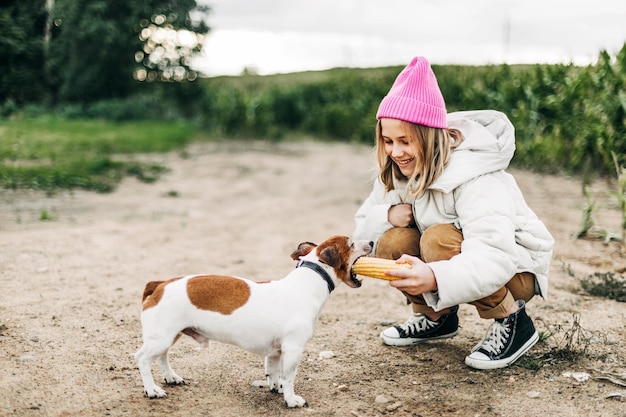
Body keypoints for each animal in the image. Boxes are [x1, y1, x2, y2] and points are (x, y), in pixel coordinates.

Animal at [134, 234, 370, 406]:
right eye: (351, 243)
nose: (371, 242)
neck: (309, 280)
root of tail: (160, 284)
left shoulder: (276, 351)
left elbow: (274, 372)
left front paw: (277, 388)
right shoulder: (293, 349)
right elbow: (289, 376)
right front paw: (291, 399)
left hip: (168, 336)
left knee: (162, 356)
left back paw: (170, 377)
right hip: (161, 337)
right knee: (143, 358)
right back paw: (151, 389)